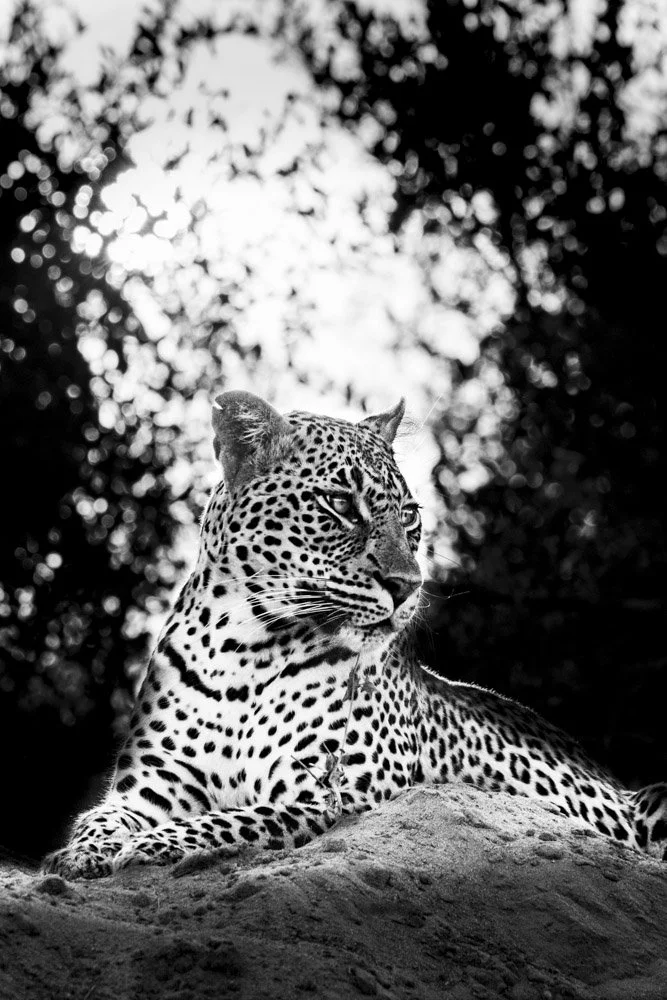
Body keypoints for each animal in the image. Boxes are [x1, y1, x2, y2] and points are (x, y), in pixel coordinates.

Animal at [43, 390, 667, 879]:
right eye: (341, 503)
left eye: (410, 515)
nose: (407, 586)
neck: (241, 649)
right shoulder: (152, 783)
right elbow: (100, 817)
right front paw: (82, 853)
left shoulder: (331, 792)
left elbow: (232, 823)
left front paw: (150, 845)